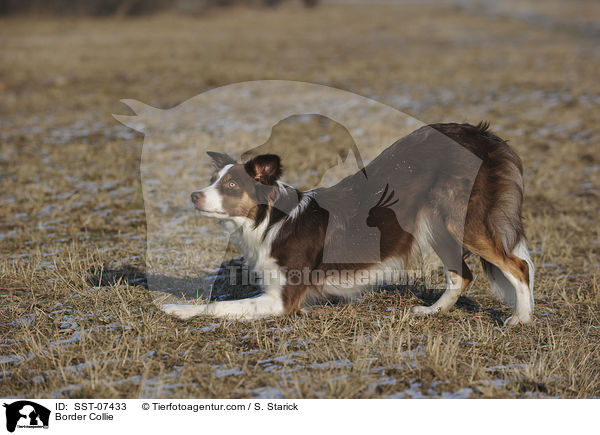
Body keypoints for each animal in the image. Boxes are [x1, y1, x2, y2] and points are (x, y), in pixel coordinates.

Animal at [163, 124, 536, 326]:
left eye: (230, 186)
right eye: (212, 180)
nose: (194, 195)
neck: (270, 221)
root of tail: (480, 134)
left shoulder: (282, 300)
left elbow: (218, 305)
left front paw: (176, 309)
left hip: (461, 220)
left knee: (518, 265)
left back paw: (522, 318)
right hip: (436, 223)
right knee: (463, 274)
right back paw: (432, 311)